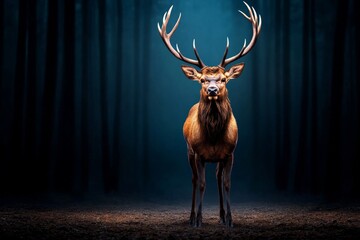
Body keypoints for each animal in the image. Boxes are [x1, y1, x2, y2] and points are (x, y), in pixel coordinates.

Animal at [158, 1, 262, 227]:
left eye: (223, 79)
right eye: (202, 80)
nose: (212, 89)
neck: (213, 136)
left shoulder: (230, 153)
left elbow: (227, 183)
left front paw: (230, 219)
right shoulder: (198, 153)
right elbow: (202, 184)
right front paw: (197, 219)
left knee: (217, 177)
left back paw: (221, 215)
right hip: (188, 151)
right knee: (195, 180)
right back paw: (191, 216)